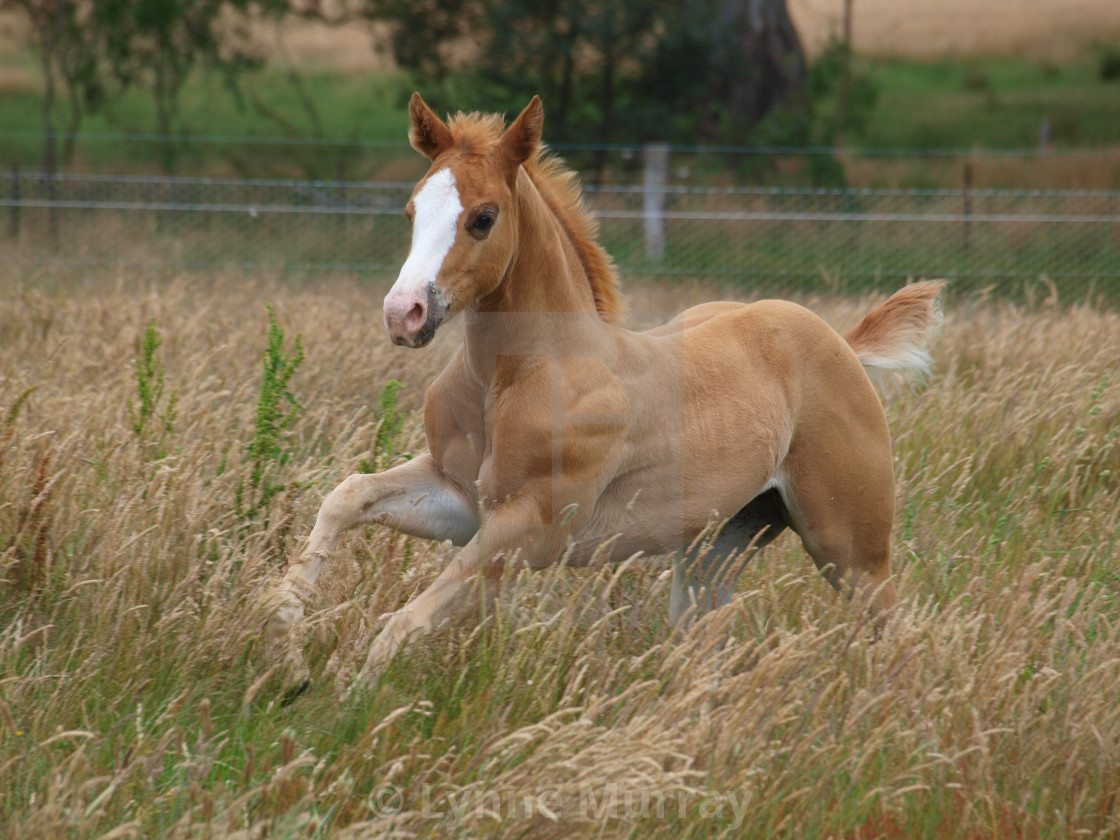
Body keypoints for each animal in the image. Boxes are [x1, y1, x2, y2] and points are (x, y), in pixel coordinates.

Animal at [266, 93, 940, 689]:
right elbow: (348, 497)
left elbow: (403, 623)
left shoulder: (534, 528)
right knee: (703, 655)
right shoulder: (458, 498)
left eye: (483, 217)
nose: (403, 314)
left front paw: (349, 708)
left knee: (897, 642)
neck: (518, 373)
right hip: (715, 549)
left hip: (850, 551)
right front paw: (287, 654)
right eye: (411, 211)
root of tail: (841, 345)